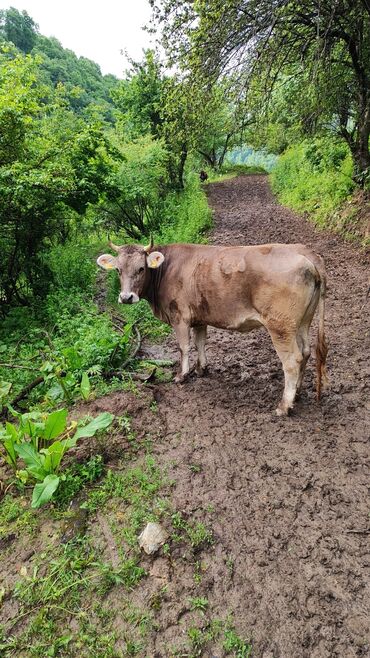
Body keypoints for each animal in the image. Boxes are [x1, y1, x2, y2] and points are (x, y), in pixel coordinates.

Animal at [97, 237, 326, 416]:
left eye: (141, 268)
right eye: (118, 270)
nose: (126, 297)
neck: (165, 271)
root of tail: (304, 252)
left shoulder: (180, 317)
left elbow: (184, 347)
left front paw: (182, 375)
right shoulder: (199, 317)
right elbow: (200, 343)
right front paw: (201, 369)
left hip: (280, 326)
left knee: (292, 360)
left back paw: (284, 405)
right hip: (302, 322)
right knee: (305, 352)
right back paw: (297, 394)